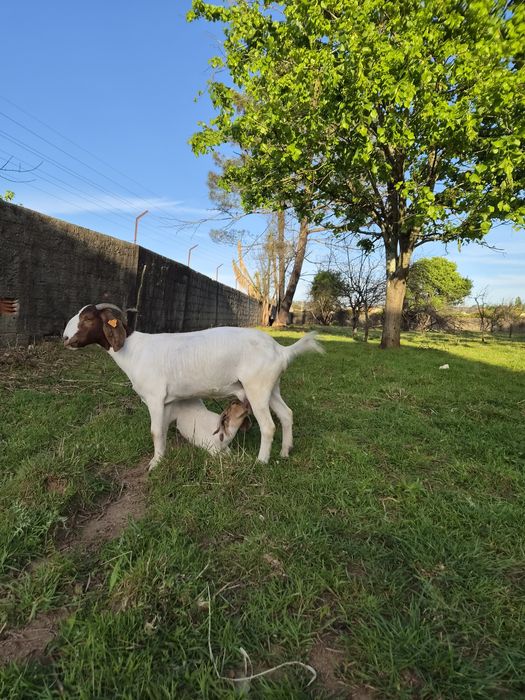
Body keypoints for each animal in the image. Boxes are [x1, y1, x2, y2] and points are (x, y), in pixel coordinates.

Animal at [63, 303, 324, 469]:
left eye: (87, 319)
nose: (65, 339)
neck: (134, 350)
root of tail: (281, 350)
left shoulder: (155, 397)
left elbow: (155, 431)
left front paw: (154, 464)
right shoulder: (167, 401)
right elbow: (163, 430)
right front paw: (162, 456)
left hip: (257, 388)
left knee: (269, 426)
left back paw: (261, 462)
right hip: (271, 387)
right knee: (287, 414)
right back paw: (285, 452)